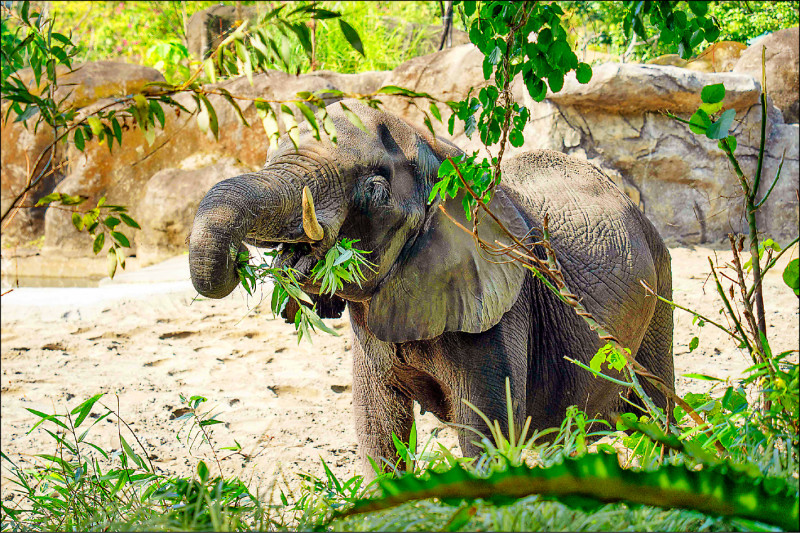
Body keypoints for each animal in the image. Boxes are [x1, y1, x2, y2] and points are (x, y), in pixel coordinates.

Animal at [188, 99, 674, 474]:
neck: (438, 150)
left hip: (660, 285)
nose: (240, 260)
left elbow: (484, 433)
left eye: (375, 190)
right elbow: (377, 429)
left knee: (657, 409)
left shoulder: (499, 307)